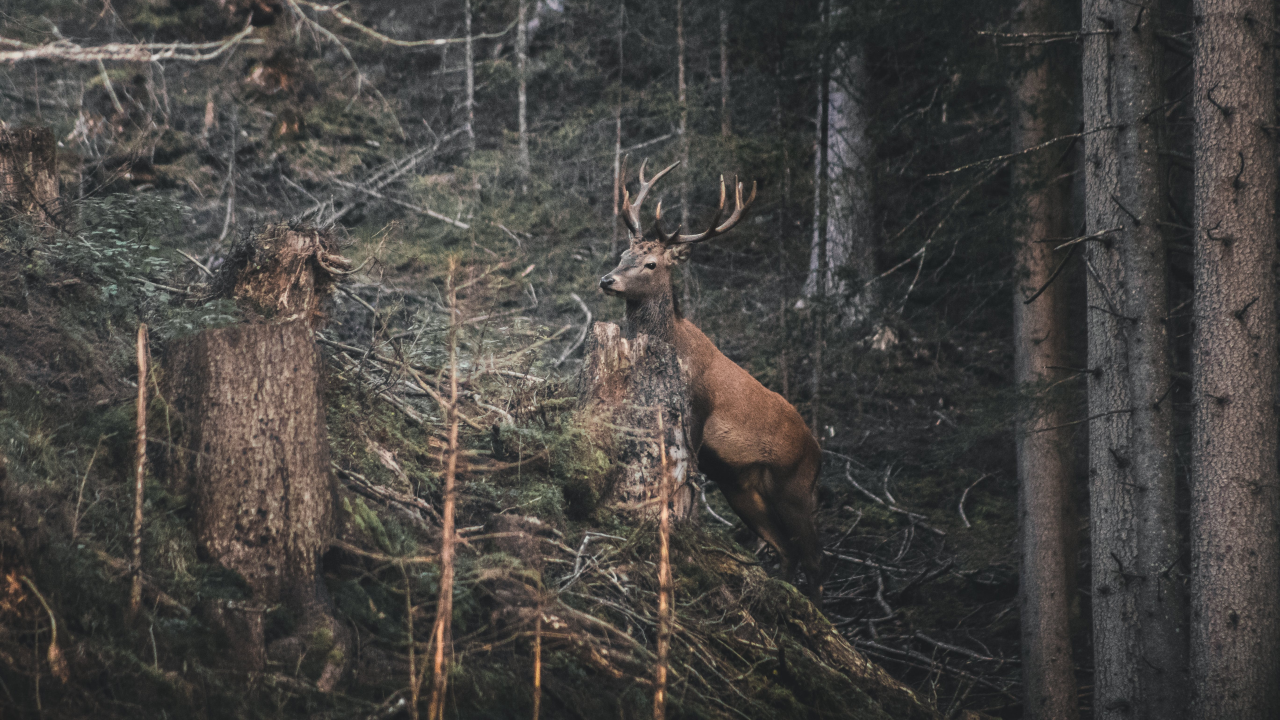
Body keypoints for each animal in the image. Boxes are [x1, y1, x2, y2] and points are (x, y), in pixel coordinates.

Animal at [599, 159, 826, 601]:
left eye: (652, 264)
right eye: (623, 253)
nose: (607, 280)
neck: (669, 346)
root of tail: (819, 451)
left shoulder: (697, 409)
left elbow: (686, 470)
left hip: (797, 486)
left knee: (815, 560)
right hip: (744, 488)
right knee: (785, 550)